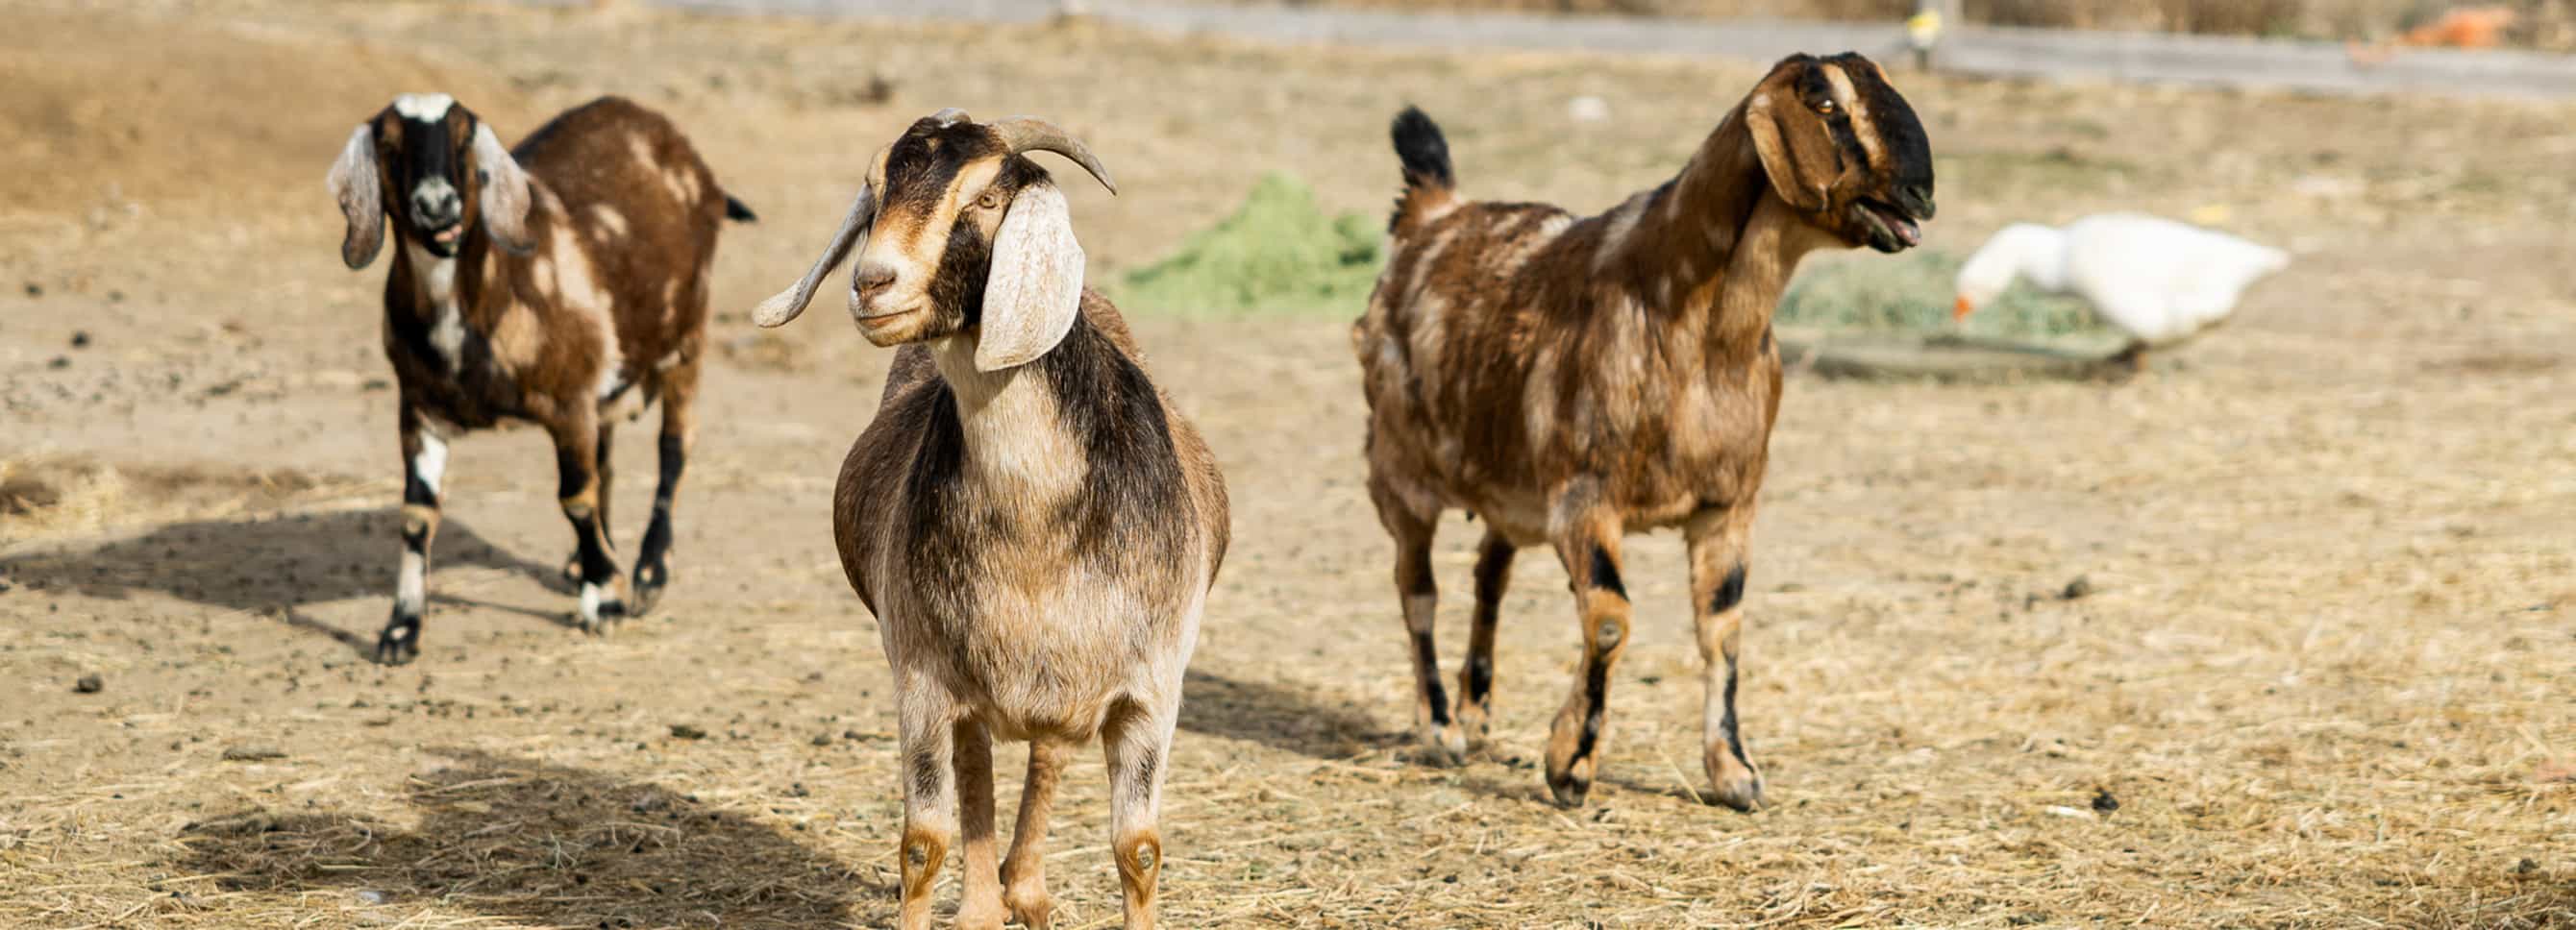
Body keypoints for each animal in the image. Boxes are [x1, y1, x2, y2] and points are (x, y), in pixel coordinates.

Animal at [326, 94, 753, 664]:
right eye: (390, 145)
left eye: (462, 140)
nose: (436, 205)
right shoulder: (418, 408)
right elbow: (417, 514)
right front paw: (401, 629)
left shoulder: (567, 400)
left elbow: (575, 497)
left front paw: (607, 598)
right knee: (607, 458)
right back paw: (588, 563)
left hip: (686, 339)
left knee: (673, 447)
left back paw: (647, 572)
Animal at [751, 109, 1228, 930]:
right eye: (877, 190)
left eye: (984, 199)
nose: (872, 284)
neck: (1035, 538)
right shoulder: (919, 672)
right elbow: (922, 844)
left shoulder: (1152, 687)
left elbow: (1138, 849)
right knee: (980, 759)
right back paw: (988, 899)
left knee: (1048, 753)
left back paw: (1025, 886)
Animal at [1353, 53, 1935, 811]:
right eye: (1827, 104)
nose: (1921, 193)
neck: (1693, 324)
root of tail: (1436, 213)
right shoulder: (1585, 495)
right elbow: (1608, 619)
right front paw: (1571, 764)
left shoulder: (1728, 504)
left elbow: (1723, 628)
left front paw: (1735, 771)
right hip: (1399, 469)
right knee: (1416, 587)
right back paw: (1441, 728)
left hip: (1510, 486)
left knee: (1488, 574)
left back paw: (1476, 716)